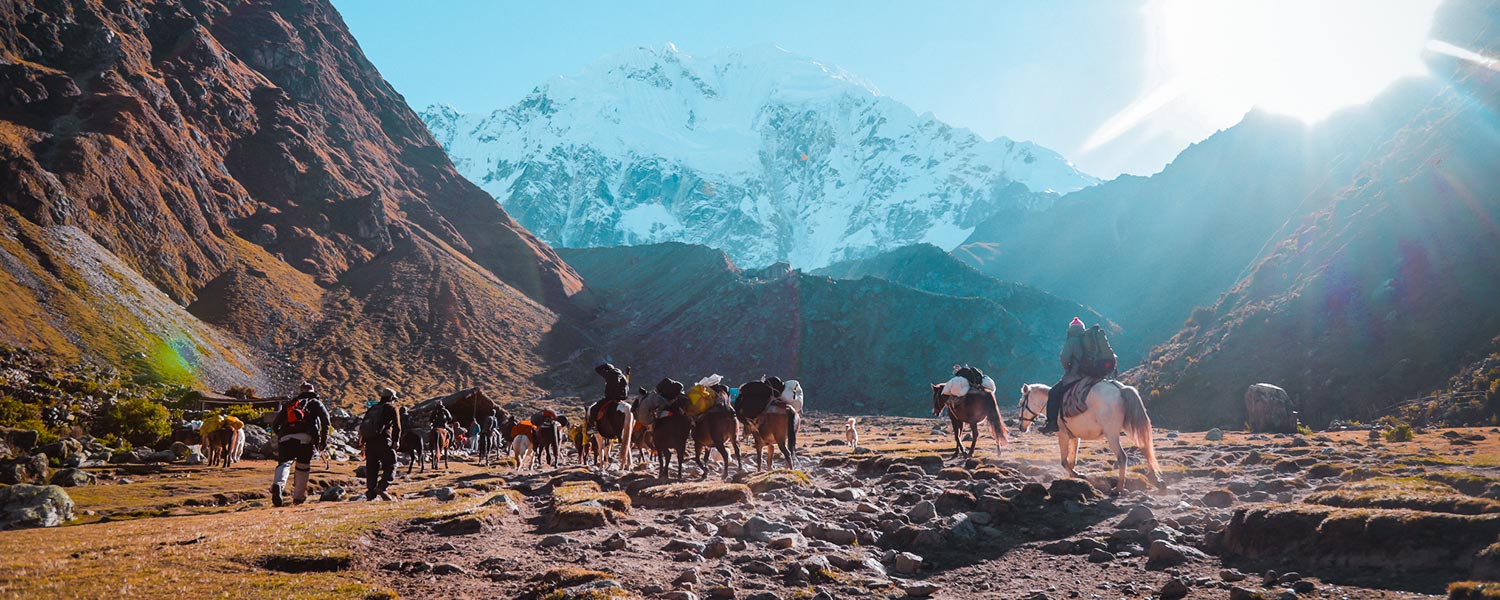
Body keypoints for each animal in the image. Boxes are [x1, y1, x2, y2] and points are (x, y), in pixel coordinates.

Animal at [1014, 382, 1164, 495]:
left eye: (1021, 404)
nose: (1021, 427)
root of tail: (1120, 389)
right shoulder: (1074, 438)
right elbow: (1072, 461)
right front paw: (1072, 479)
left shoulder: (1062, 435)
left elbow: (1064, 461)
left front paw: (1078, 475)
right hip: (1129, 428)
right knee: (1145, 448)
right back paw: (1156, 479)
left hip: (1111, 434)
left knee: (1122, 456)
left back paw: (1119, 488)